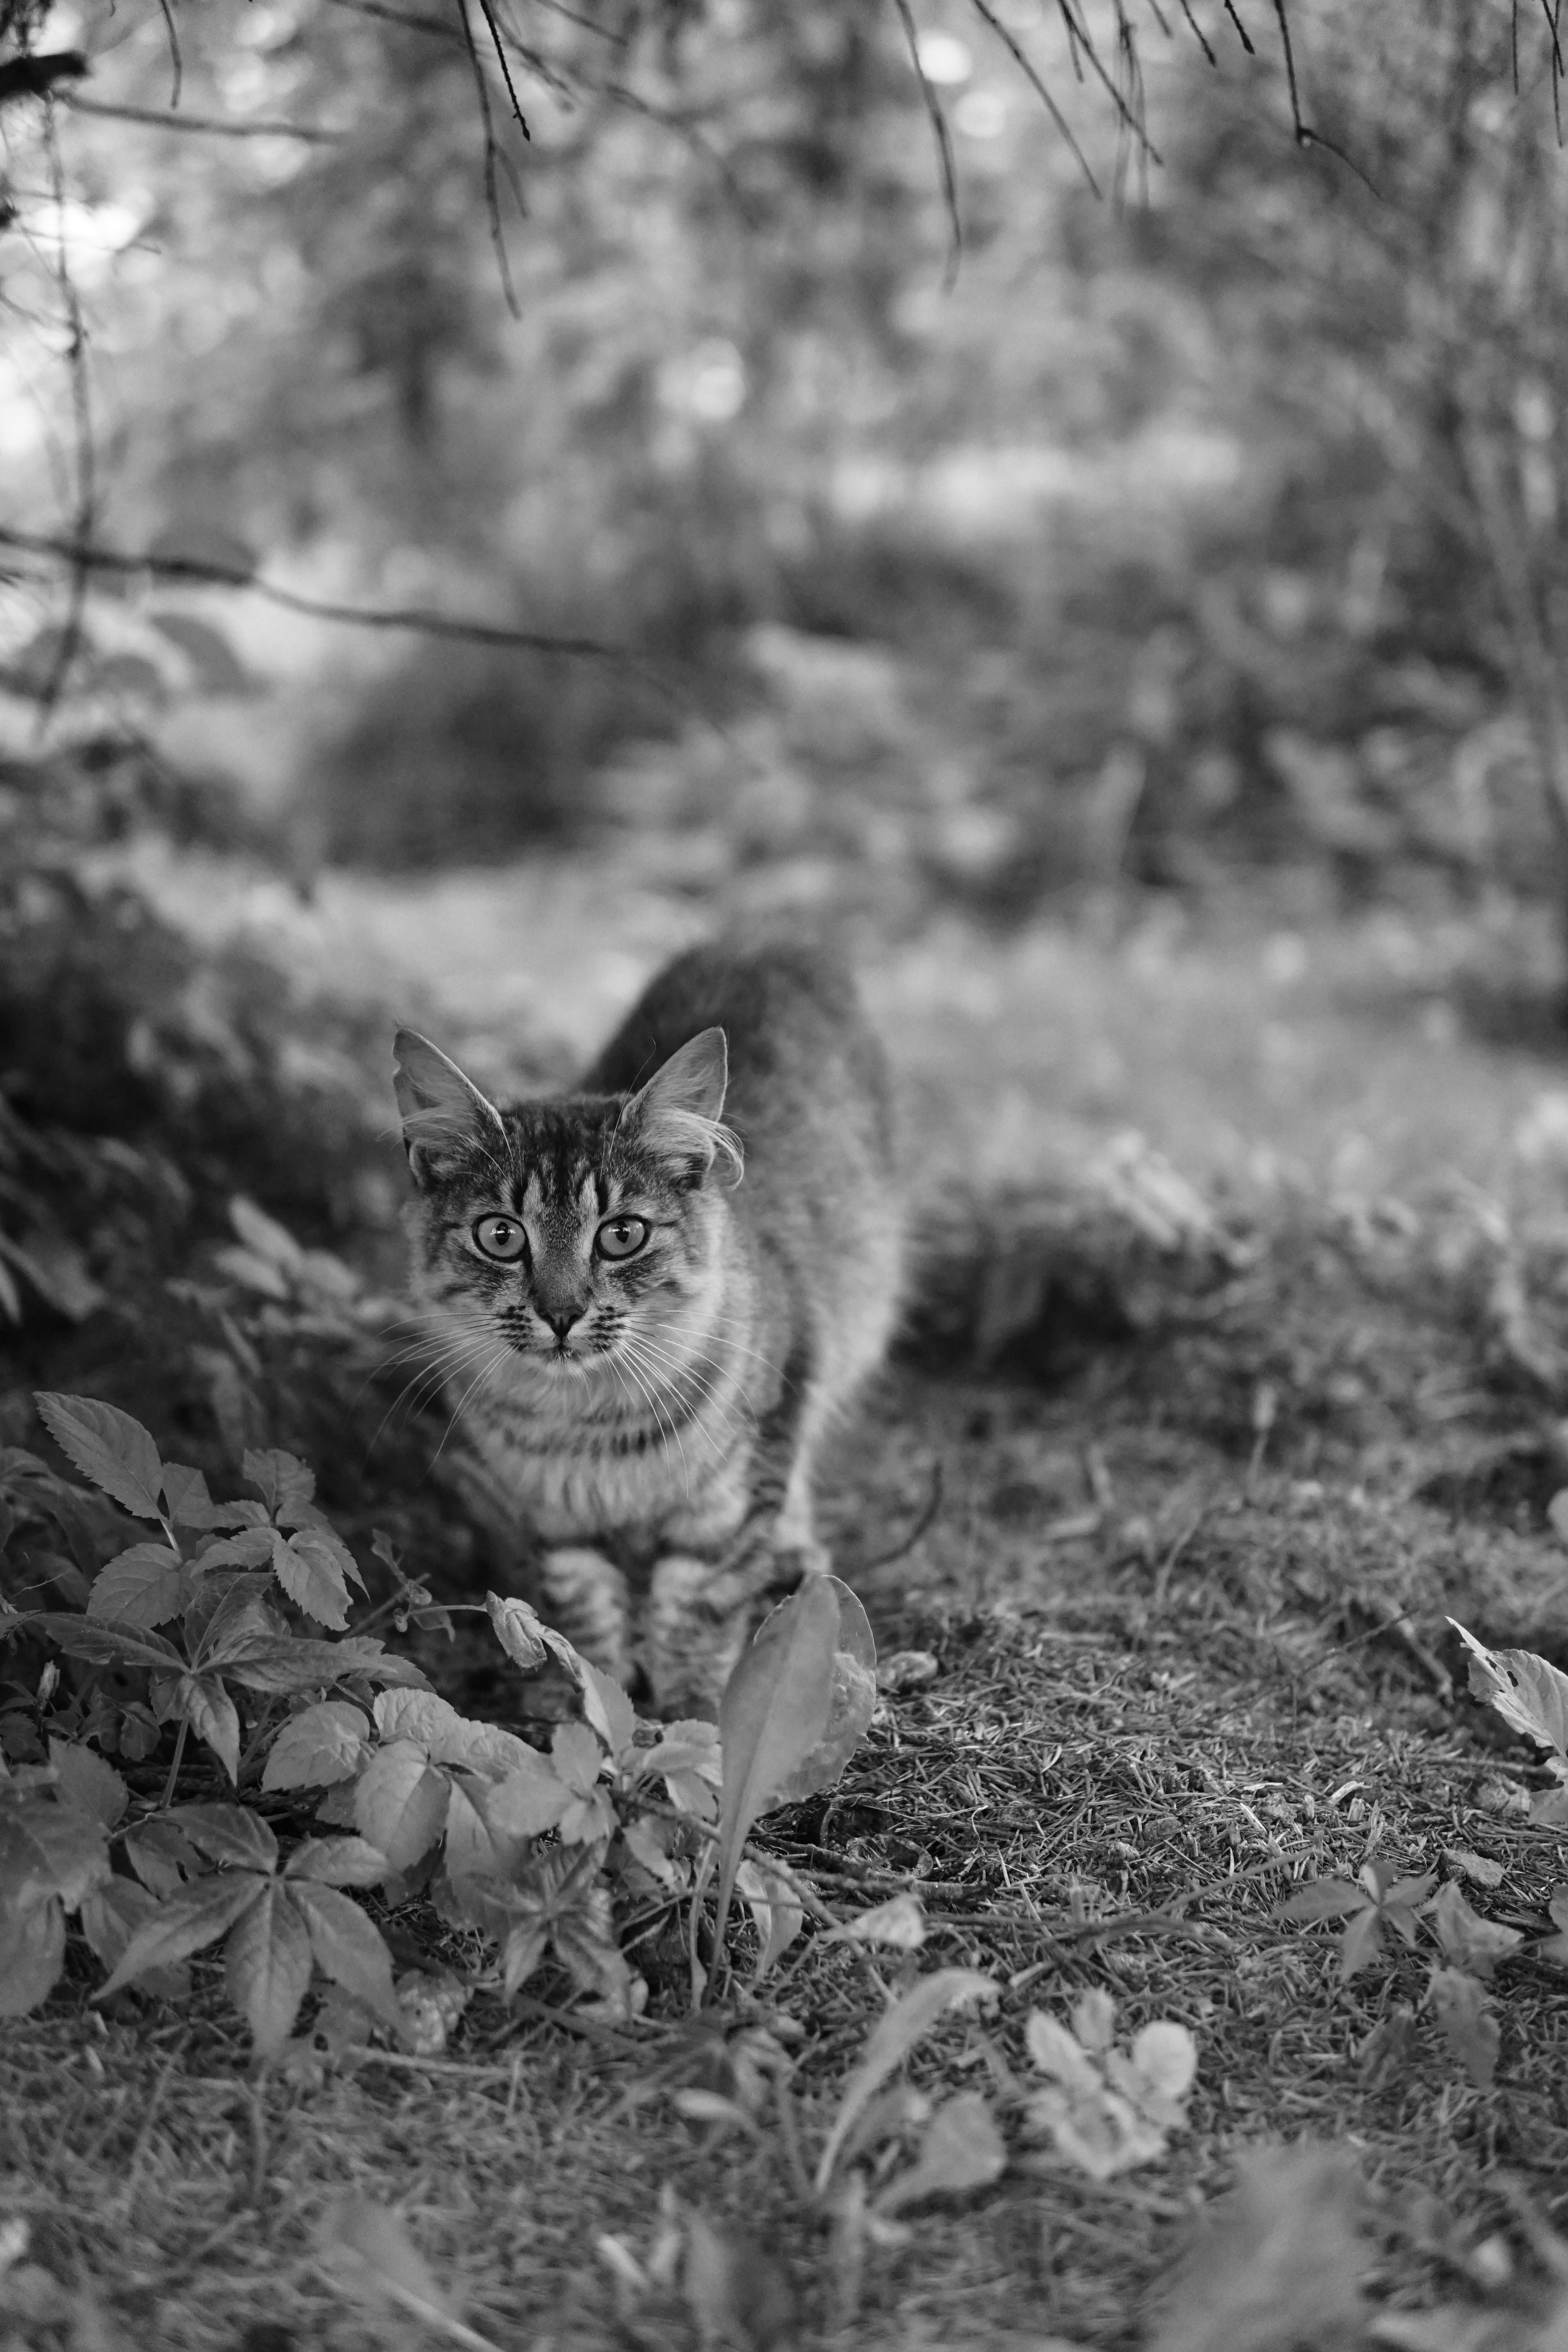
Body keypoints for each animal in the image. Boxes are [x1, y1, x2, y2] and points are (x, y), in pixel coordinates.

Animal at [395, 936, 907, 1712]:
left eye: (622, 1235)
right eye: (502, 1236)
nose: (562, 1312)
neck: (590, 1426)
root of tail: (772, 933)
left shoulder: (727, 1504)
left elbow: (698, 1613)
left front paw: (692, 1714)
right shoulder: (557, 1523)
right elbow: (581, 1620)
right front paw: (594, 1702)